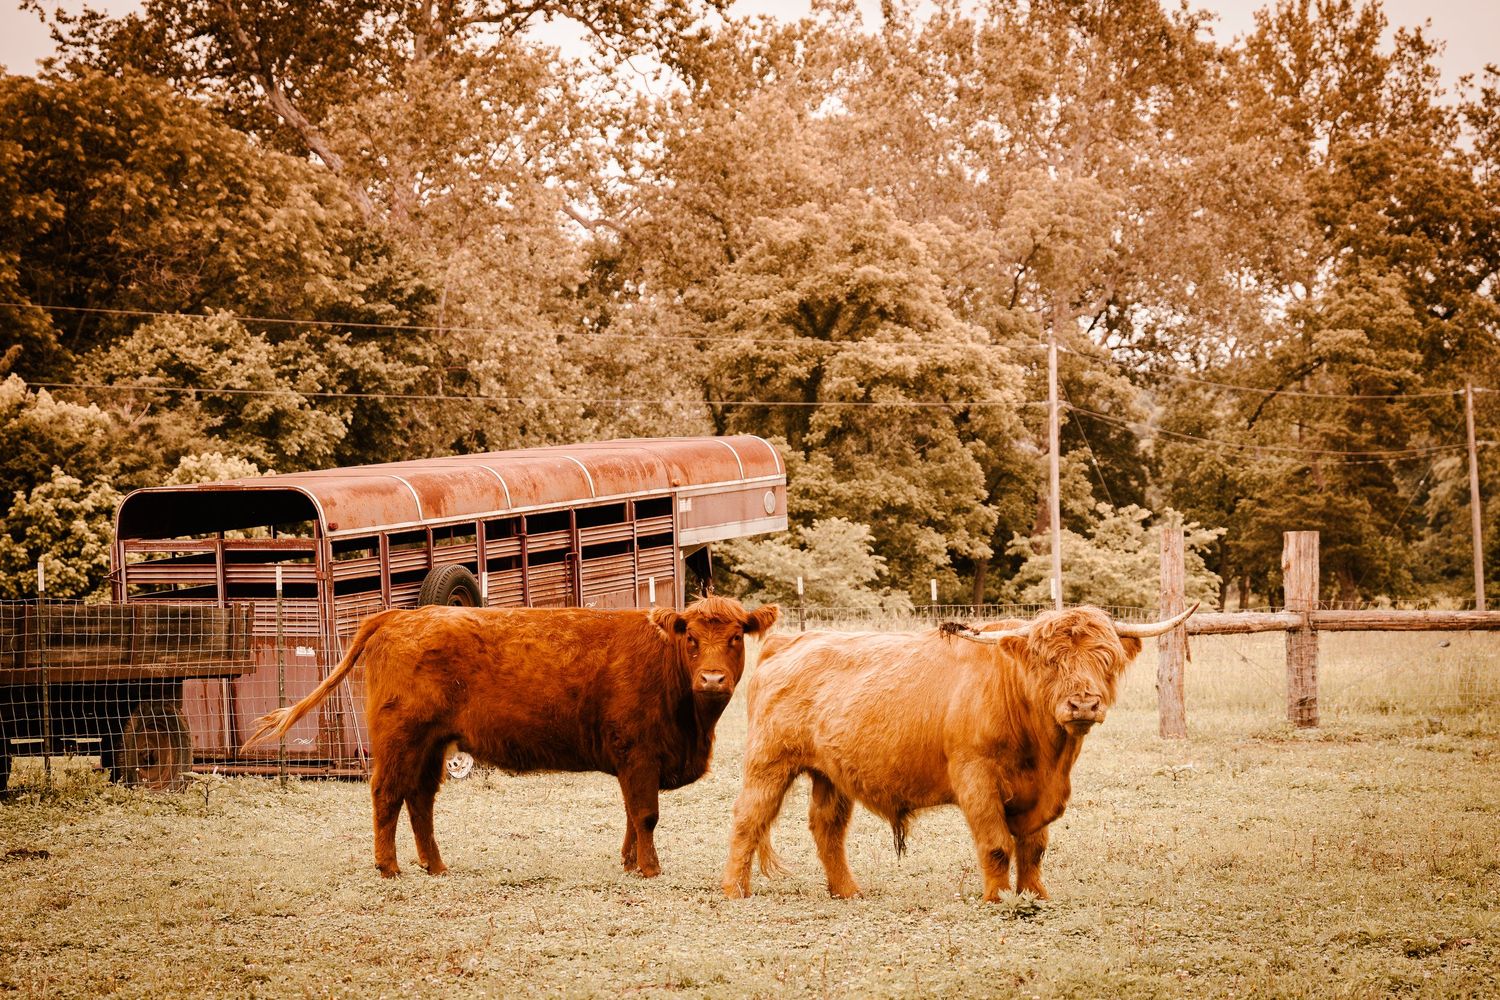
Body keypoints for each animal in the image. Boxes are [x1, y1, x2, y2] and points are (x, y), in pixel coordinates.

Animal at [243, 596, 779, 879]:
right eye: (692, 640)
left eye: (736, 638)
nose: (712, 679)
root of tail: (401, 615)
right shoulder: (639, 753)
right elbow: (646, 815)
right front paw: (650, 869)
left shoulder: (634, 763)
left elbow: (632, 815)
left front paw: (629, 864)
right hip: (400, 739)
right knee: (387, 795)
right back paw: (389, 867)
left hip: (433, 745)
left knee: (419, 801)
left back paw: (435, 866)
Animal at [721, 603, 1195, 902]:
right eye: (1050, 661)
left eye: (1105, 658)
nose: (1083, 704)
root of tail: (789, 641)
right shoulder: (976, 777)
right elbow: (997, 844)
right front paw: (998, 898)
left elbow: (1034, 847)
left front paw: (1035, 895)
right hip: (769, 762)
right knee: (748, 819)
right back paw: (735, 890)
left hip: (830, 773)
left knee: (827, 829)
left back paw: (847, 892)